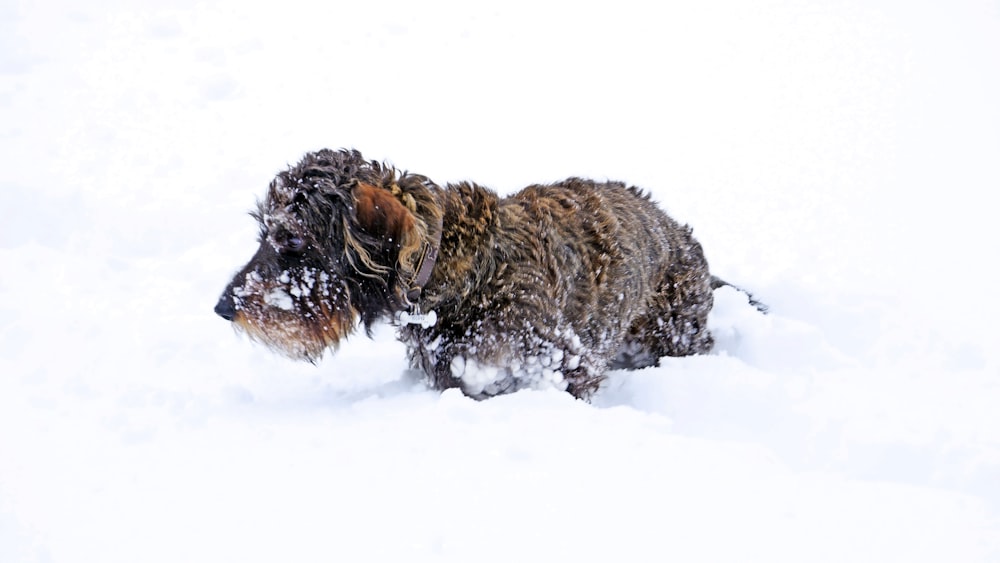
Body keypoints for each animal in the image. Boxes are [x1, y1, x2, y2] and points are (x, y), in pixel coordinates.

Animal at [213, 148, 744, 398]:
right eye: (266, 232)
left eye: (293, 239)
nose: (222, 307)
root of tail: (680, 233)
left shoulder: (562, 364)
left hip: (671, 334)